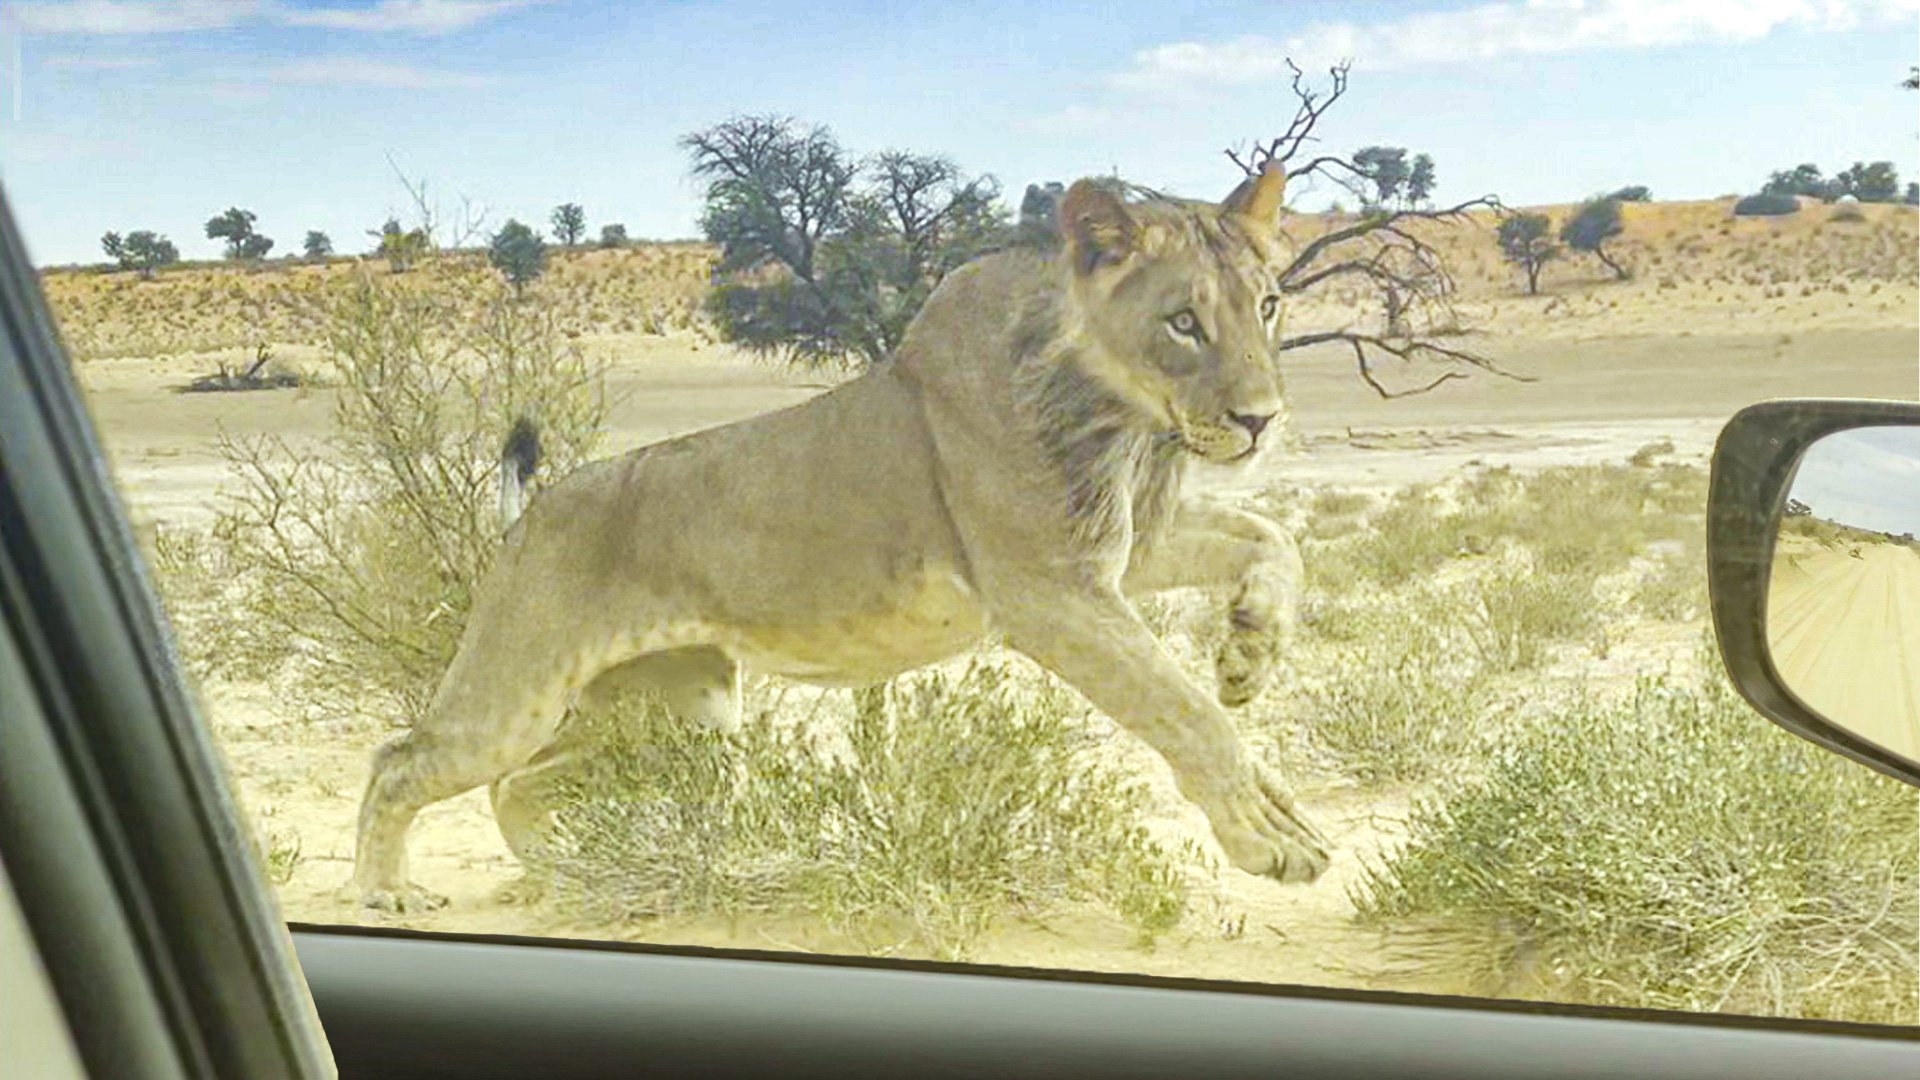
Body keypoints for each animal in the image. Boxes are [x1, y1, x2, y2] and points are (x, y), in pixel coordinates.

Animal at [353, 162, 1331, 912]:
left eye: (1269, 305)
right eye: (1183, 322)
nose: (1261, 420)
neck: (1130, 426)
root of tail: (535, 510)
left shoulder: (1123, 550)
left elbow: (1271, 537)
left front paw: (1250, 652)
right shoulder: (1049, 591)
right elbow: (1186, 711)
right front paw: (1273, 838)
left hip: (679, 712)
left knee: (520, 782)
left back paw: (570, 869)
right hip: (517, 693)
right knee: (405, 759)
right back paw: (388, 892)